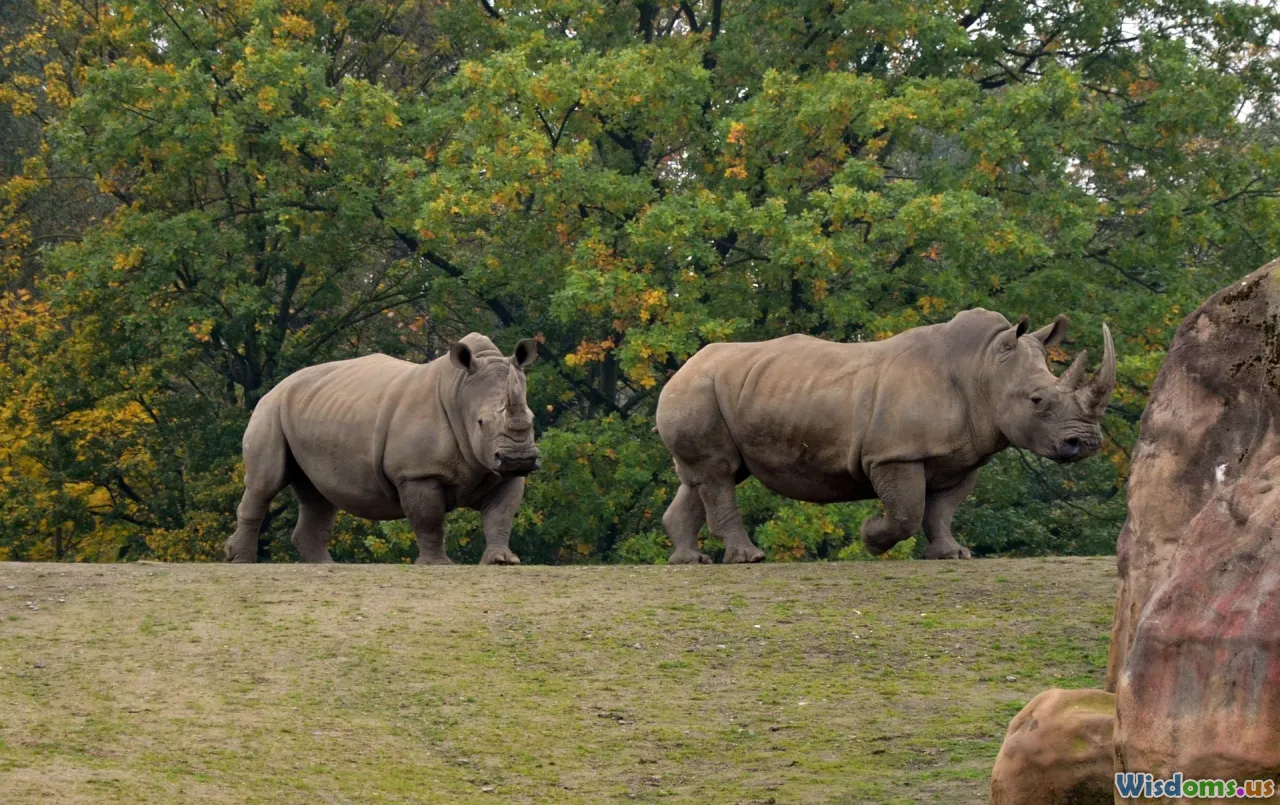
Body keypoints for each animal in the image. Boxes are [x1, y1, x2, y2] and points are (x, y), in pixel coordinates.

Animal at [224, 333, 540, 564]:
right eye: (481, 422)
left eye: (533, 418)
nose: (520, 459)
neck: (460, 391)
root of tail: (278, 384)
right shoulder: (417, 473)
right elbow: (429, 520)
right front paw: (437, 565)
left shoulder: (498, 470)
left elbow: (501, 514)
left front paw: (502, 561)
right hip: (269, 410)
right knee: (265, 483)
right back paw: (241, 562)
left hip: (311, 412)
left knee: (317, 494)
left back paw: (325, 566)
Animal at [655, 309, 1115, 563]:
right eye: (1037, 400)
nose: (1086, 443)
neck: (983, 367)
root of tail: (683, 366)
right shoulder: (895, 454)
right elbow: (908, 511)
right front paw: (871, 537)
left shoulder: (963, 456)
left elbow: (941, 510)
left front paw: (952, 554)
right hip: (699, 390)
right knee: (719, 473)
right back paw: (748, 558)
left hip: (719, 390)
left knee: (704, 477)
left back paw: (690, 561)